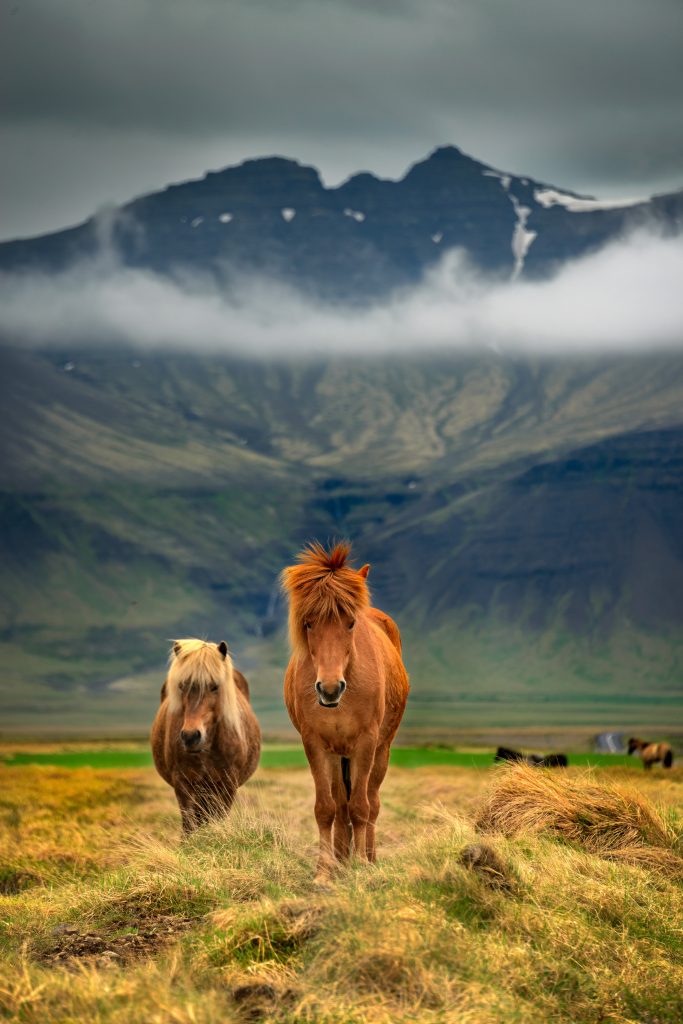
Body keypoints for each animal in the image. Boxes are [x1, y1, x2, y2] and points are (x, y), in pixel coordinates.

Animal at [150, 638, 260, 831]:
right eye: (182, 686)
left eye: (215, 686)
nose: (191, 736)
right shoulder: (183, 784)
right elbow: (189, 825)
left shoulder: (227, 786)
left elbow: (218, 818)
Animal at [280, 540, 409, 876]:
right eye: (308, 623)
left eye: (350, 623)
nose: (329, 688)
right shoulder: (315, 744)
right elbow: (327, 808)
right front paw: (324, 870)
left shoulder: (366, 742)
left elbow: (361, 807)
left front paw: (362, 865)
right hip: (338, 756)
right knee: (340, 805)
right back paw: (340, 859)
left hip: (381, 750)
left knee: (371, 802)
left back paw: (368, 858)